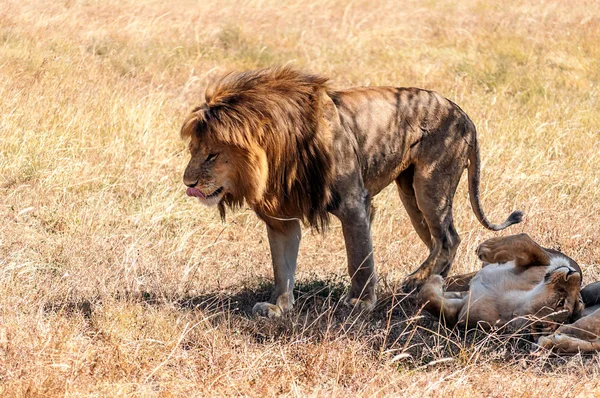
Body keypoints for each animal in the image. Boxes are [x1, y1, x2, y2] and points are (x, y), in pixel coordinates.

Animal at [180, 67, 524, 318]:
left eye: (212, 155)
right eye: (193, 150)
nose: (188, 183)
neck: (279, 155)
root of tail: (464, 115)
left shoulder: (353, 204)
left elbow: (360, 259)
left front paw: (361, 303)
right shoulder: (282, 219)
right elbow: (282, 266)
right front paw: (279, 306)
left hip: (430, 184)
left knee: (449, 237)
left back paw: (419, 282)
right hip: (411, 194)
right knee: (439, 241)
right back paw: (428, 282)